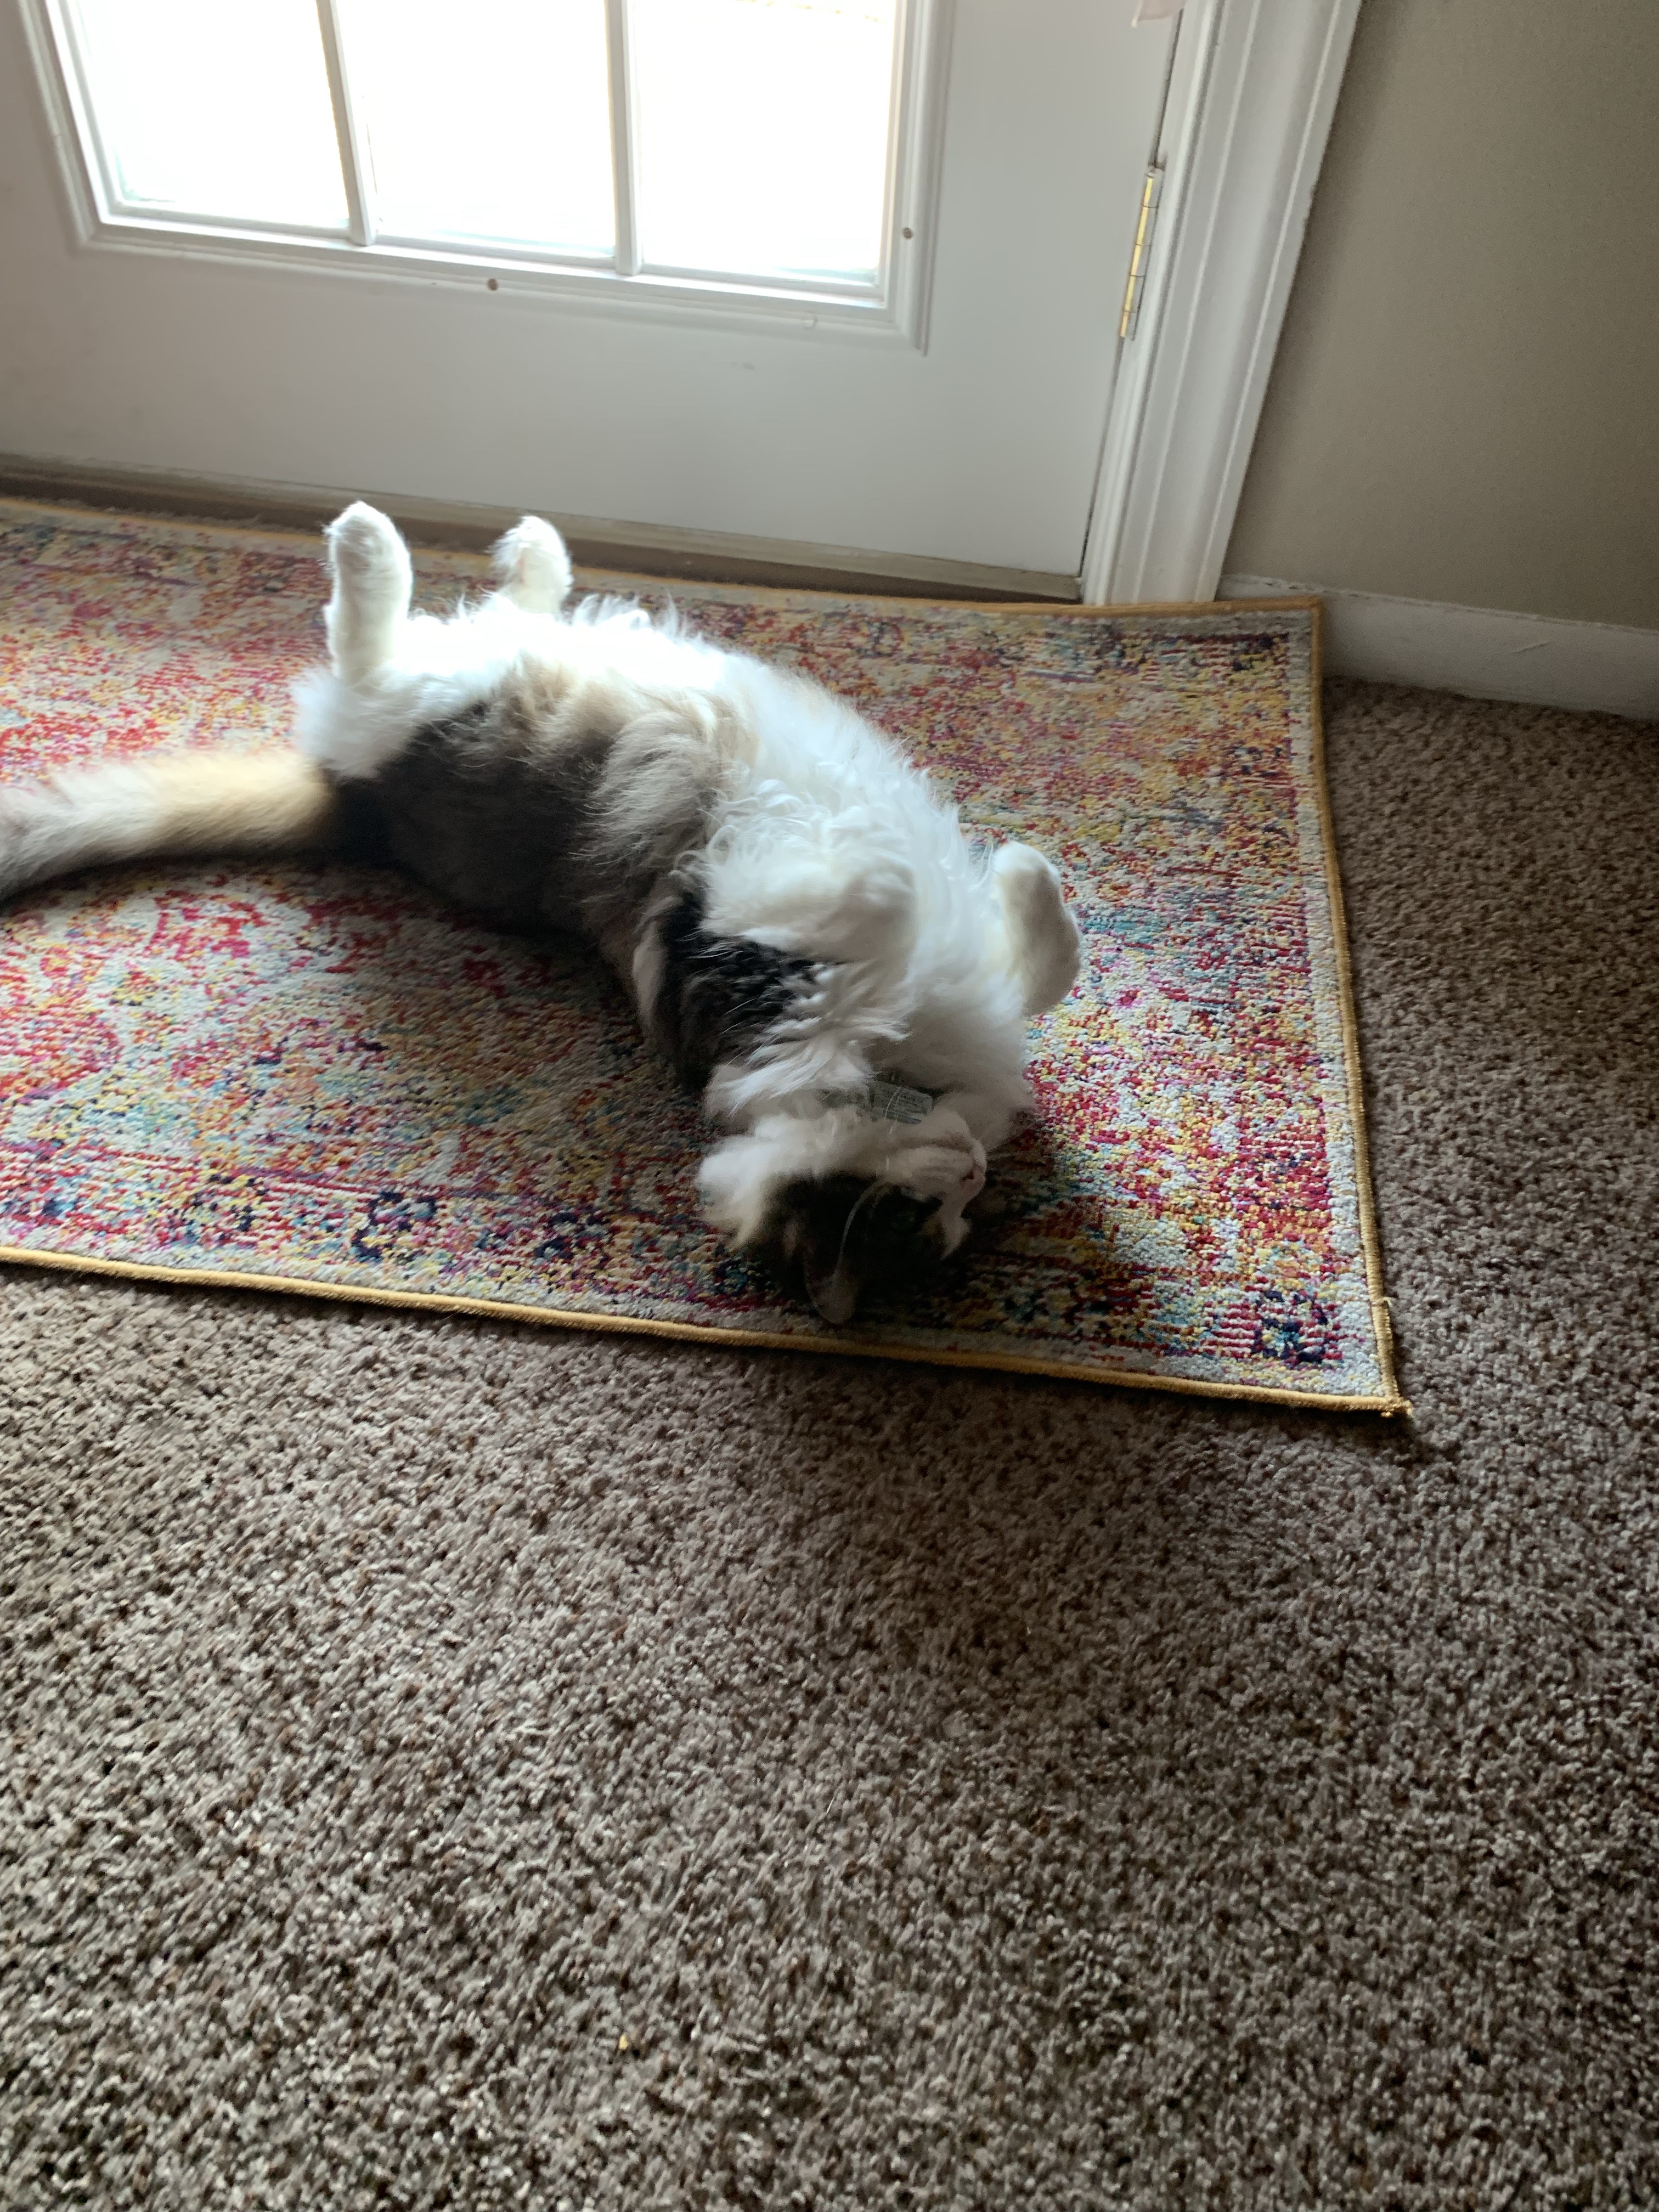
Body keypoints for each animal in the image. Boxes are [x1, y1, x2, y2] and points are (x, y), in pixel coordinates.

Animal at [0, 503, 1080, 1322]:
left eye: (950, 1229)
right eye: (906, 1220)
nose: (970, 1176)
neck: (898, 1072)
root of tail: (357, 812)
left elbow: (1021, 952)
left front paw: (971, 871)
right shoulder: (735, 945)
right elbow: (978, 927)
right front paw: (974, 864)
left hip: (442, 695)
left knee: (395, 635)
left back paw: (466, 548)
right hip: (455, 697)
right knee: (393, 627)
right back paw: (458, 542)